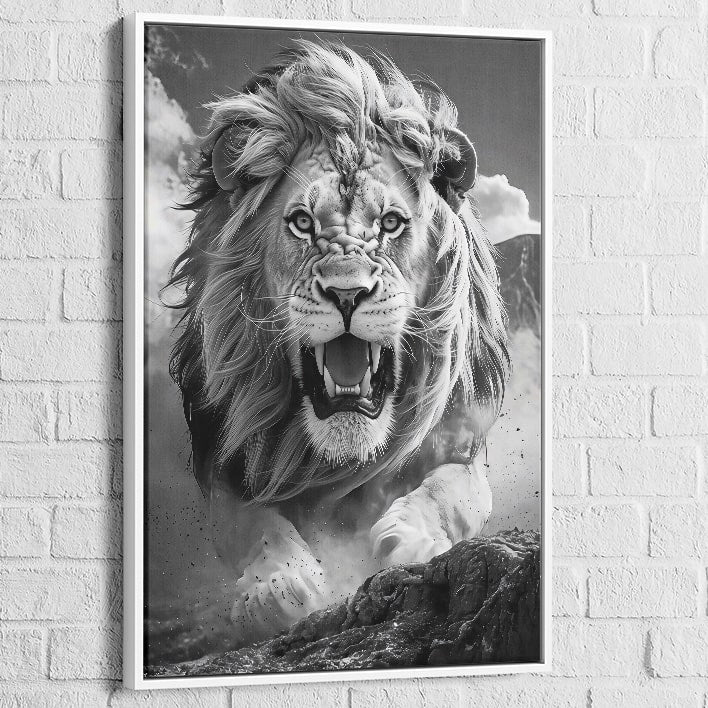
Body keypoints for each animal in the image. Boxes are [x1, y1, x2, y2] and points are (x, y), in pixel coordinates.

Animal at [168, 40, 509, 645]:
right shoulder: (222, 463)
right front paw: (277, 587)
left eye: (392, 223)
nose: (347, 293)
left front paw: (410, 542)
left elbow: (447, 492)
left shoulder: (463, 445)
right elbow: (252, 524)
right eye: (302, 223)